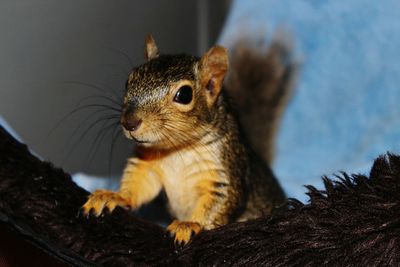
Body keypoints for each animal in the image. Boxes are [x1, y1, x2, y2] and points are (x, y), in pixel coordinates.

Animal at [82, 34, 294, 246]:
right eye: (128, 80)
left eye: (184, 95)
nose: (129, 122)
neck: (176, 149)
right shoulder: (147, 164)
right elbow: (140, 184)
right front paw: (113, 196)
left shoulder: (223, 168)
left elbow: (218, 201)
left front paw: (190, 224)